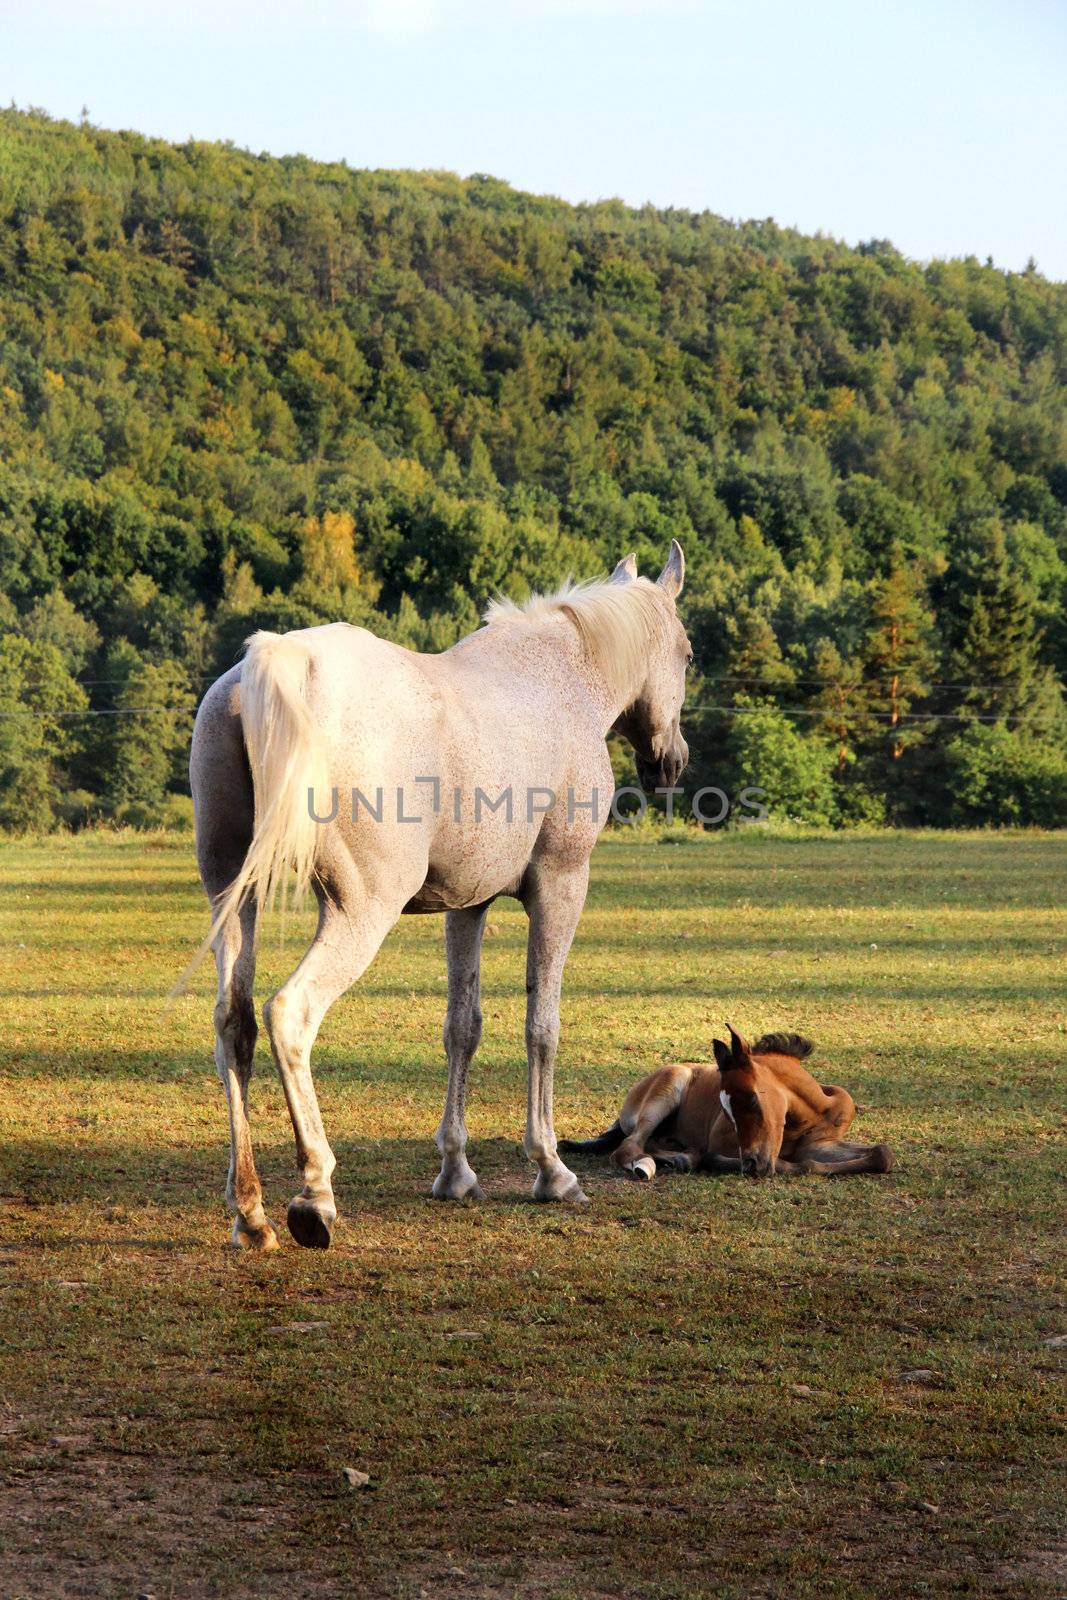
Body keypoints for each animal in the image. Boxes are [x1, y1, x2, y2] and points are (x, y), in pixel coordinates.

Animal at [189, 544, 694, 1241]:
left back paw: (251, 1211)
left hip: (232, 898)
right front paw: (551, 1170)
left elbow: (463, 1026)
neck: (562, 679)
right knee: (289, 1013)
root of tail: (274, 664)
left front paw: (456, 1172)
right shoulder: (561, 884)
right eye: (688, 653)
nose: (671, 761)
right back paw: (315, 1192)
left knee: (234, 1024)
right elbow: (542, 1025)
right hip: (358, 912)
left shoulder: (468, 904)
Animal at [563, 1017, 895, 1184]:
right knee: (629, 1146)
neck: (813, 1113)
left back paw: (683, 1156)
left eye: (751, 1098)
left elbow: (882, 1154)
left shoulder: (822, 1144)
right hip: (668, 1088)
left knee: (652, 1143)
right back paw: (656, 1163)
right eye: (725, 1110)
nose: (751, 1163)